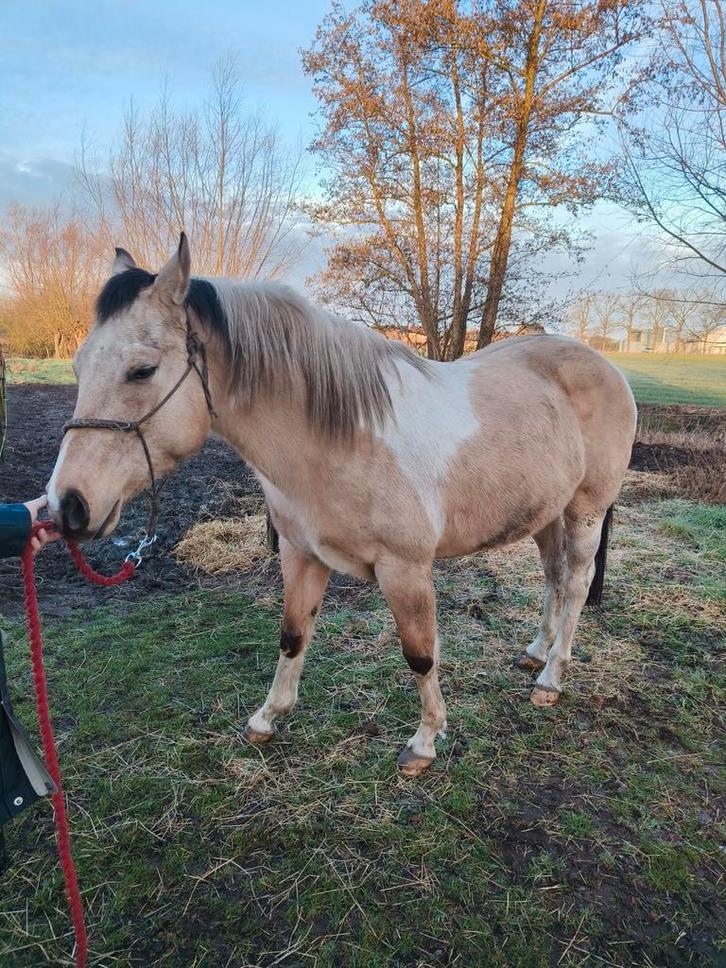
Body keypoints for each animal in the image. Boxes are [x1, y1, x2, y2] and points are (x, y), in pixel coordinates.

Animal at [48, 234, 637, 776]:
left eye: (142, 370)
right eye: (78, 365)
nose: (68, 506)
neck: (343, 439)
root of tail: (606, 366)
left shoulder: (406, 570)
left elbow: (420, 653)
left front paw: (424, 743)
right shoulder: (301, 554)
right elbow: (292, 636)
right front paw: (267, 718)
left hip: (584, 510)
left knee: (576, 583)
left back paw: (550, 679)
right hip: (545, 513)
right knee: (554, 577)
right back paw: (536, 652)